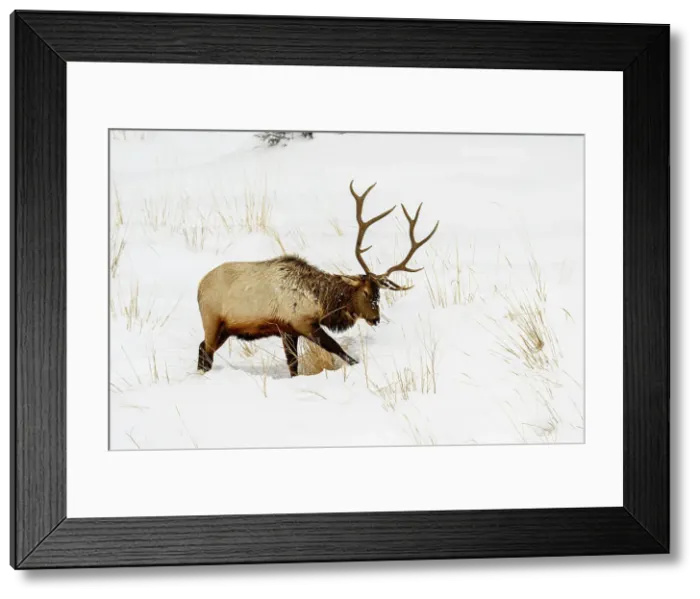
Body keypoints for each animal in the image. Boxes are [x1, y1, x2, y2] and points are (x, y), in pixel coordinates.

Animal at [195, 180, 439, 377]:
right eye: (366, 292)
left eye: (380, 293)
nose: (375, 318)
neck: (322, 301)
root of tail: (198, 287)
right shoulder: (301, 323)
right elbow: (336, 348)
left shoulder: (288, 330)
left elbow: (294, 365)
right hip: (212, 320)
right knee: (205, 352)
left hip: (225, 329)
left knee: (201, 349)